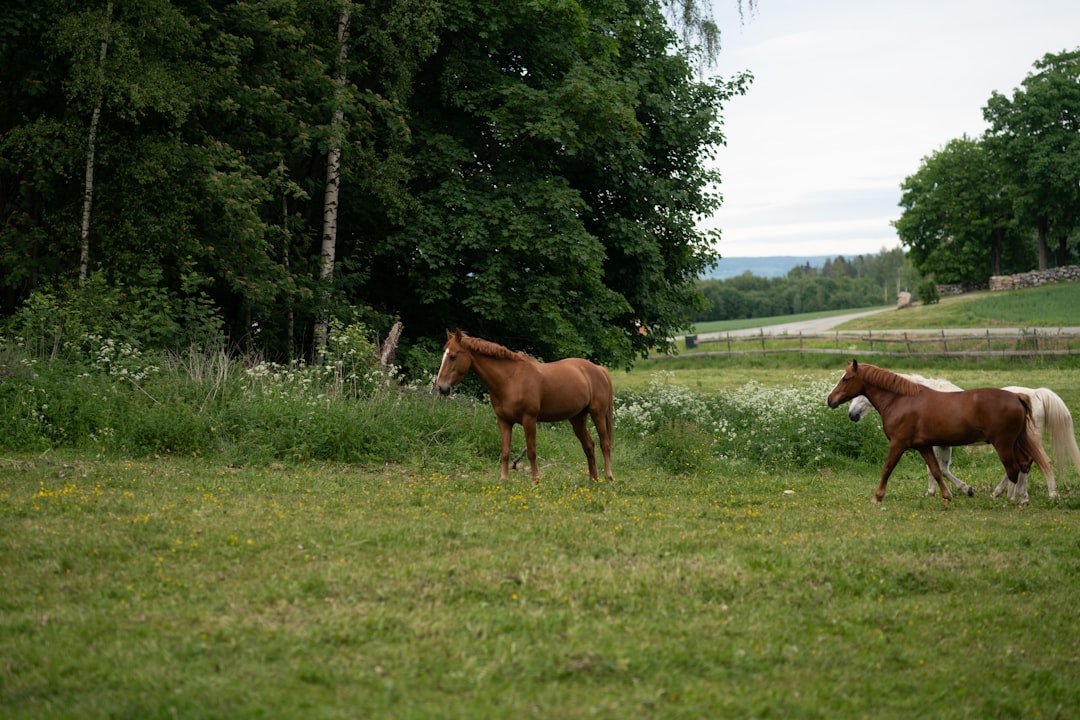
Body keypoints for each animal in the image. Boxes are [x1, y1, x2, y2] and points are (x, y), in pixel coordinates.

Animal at [432, 332, 617, 483]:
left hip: (597, 415)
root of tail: (598, 369)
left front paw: (535, 480)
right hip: (577, 418)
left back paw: (609, 477)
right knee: (589, 446)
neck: (510, 379)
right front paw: (504, 479)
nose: (441, 387)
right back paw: (593, 479)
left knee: (604, 444)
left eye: (453, 356)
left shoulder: (529, 420)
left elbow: (532, 451)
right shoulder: (504, 421)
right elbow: (505, 451)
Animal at [825, 358, 1045, 505]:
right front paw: (947, 495)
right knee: (1024, 464)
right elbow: (937, 470)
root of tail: (1018, 397)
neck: (901, 400)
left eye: (846, 379)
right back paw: (1022, 499)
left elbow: (887, 468)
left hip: (1003, 443)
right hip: (1015, 442)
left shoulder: (898, 443)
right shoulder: (924, 446)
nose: (830, 400)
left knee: (1013, 468)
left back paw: (1008, 499)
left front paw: (877, 497)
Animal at [846, 377, 1075, 507]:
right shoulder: (940, 443)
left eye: (861, 396)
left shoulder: (937, 443)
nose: (851, 415)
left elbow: (938, 468)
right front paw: (938, 491)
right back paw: (1006, 493)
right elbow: (938, 468)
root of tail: (1033, 394)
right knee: (1022, 464)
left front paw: (961, 489)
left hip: (1022, 440)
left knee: (1040, 463)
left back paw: (1046, 494)